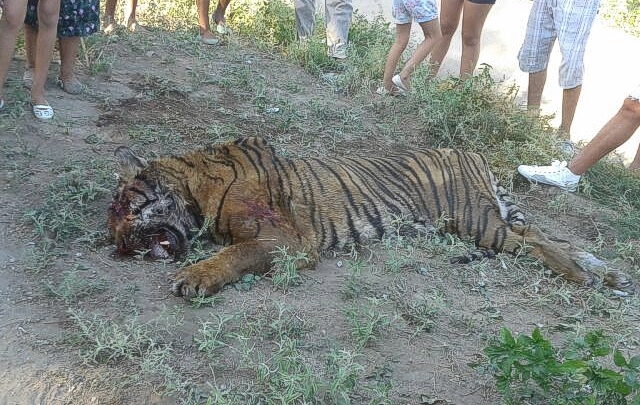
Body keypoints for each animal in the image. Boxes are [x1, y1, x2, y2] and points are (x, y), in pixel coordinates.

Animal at [107, 137, 632, 298]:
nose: (121, 248)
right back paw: (610, 276)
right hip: (489, 217)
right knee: (550, 236)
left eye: (128, 210)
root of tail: (471, 152)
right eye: (111, 227)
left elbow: (233, 255)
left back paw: (583, 277)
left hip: (475, 220)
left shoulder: (285, 239)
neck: (195, 187)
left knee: (536, 244)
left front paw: (194, 278)